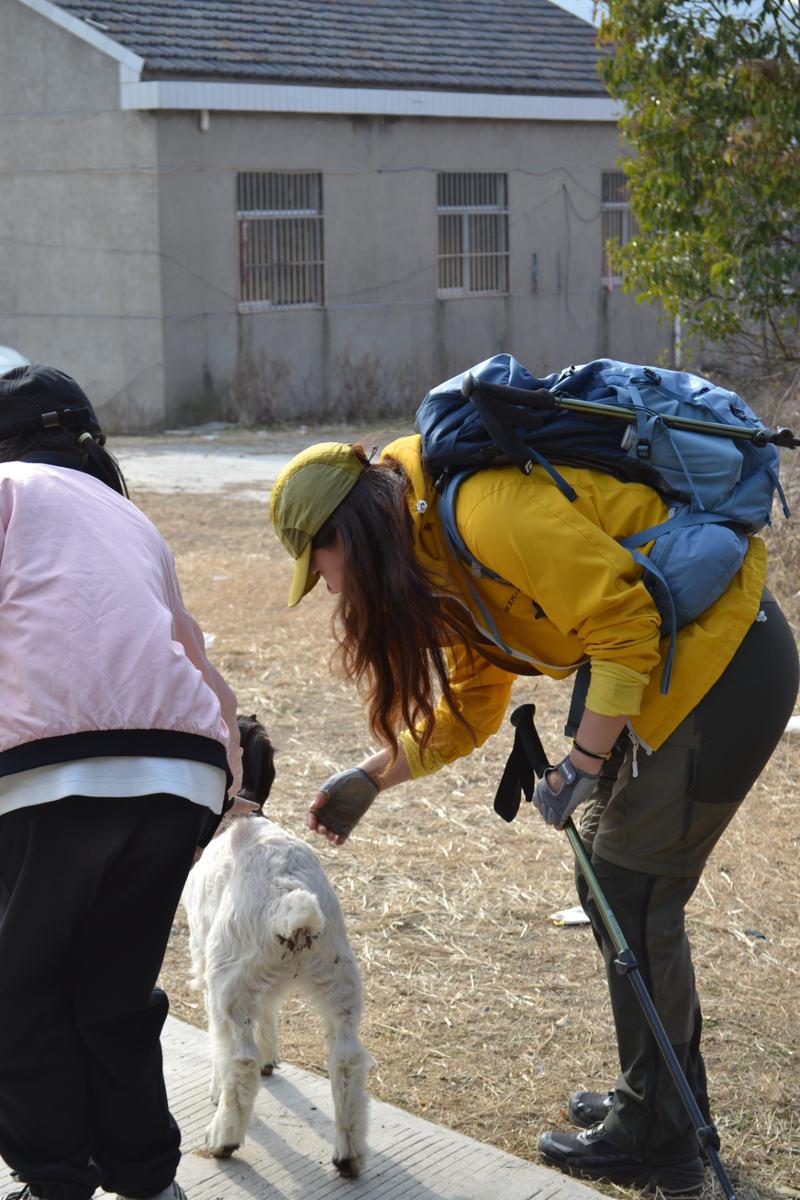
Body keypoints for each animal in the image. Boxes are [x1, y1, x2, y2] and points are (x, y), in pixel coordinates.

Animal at [182, 813, 373, 1177]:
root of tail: (291, 901)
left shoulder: (205, 960)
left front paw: (216, 1090)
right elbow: (269, 1008)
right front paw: (271, 1057)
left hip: (229, 981)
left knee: (240, 1059)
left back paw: (222, 1138)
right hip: (340, 981)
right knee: (347, 1059)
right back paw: (349, 1155)